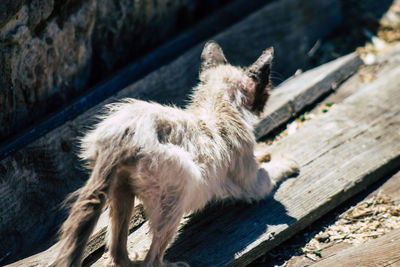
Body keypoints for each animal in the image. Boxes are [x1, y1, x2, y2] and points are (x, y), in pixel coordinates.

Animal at [52, 40, 296, 266]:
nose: (265, 100)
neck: (217, 106)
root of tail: (124, 135)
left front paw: (264, 152)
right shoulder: (251, 185)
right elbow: (271, 173)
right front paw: (285, 162)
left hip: (120, 192)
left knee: (117, 252)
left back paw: (133, 259)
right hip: (179, 189)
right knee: (152, 259)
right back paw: (170, 263)